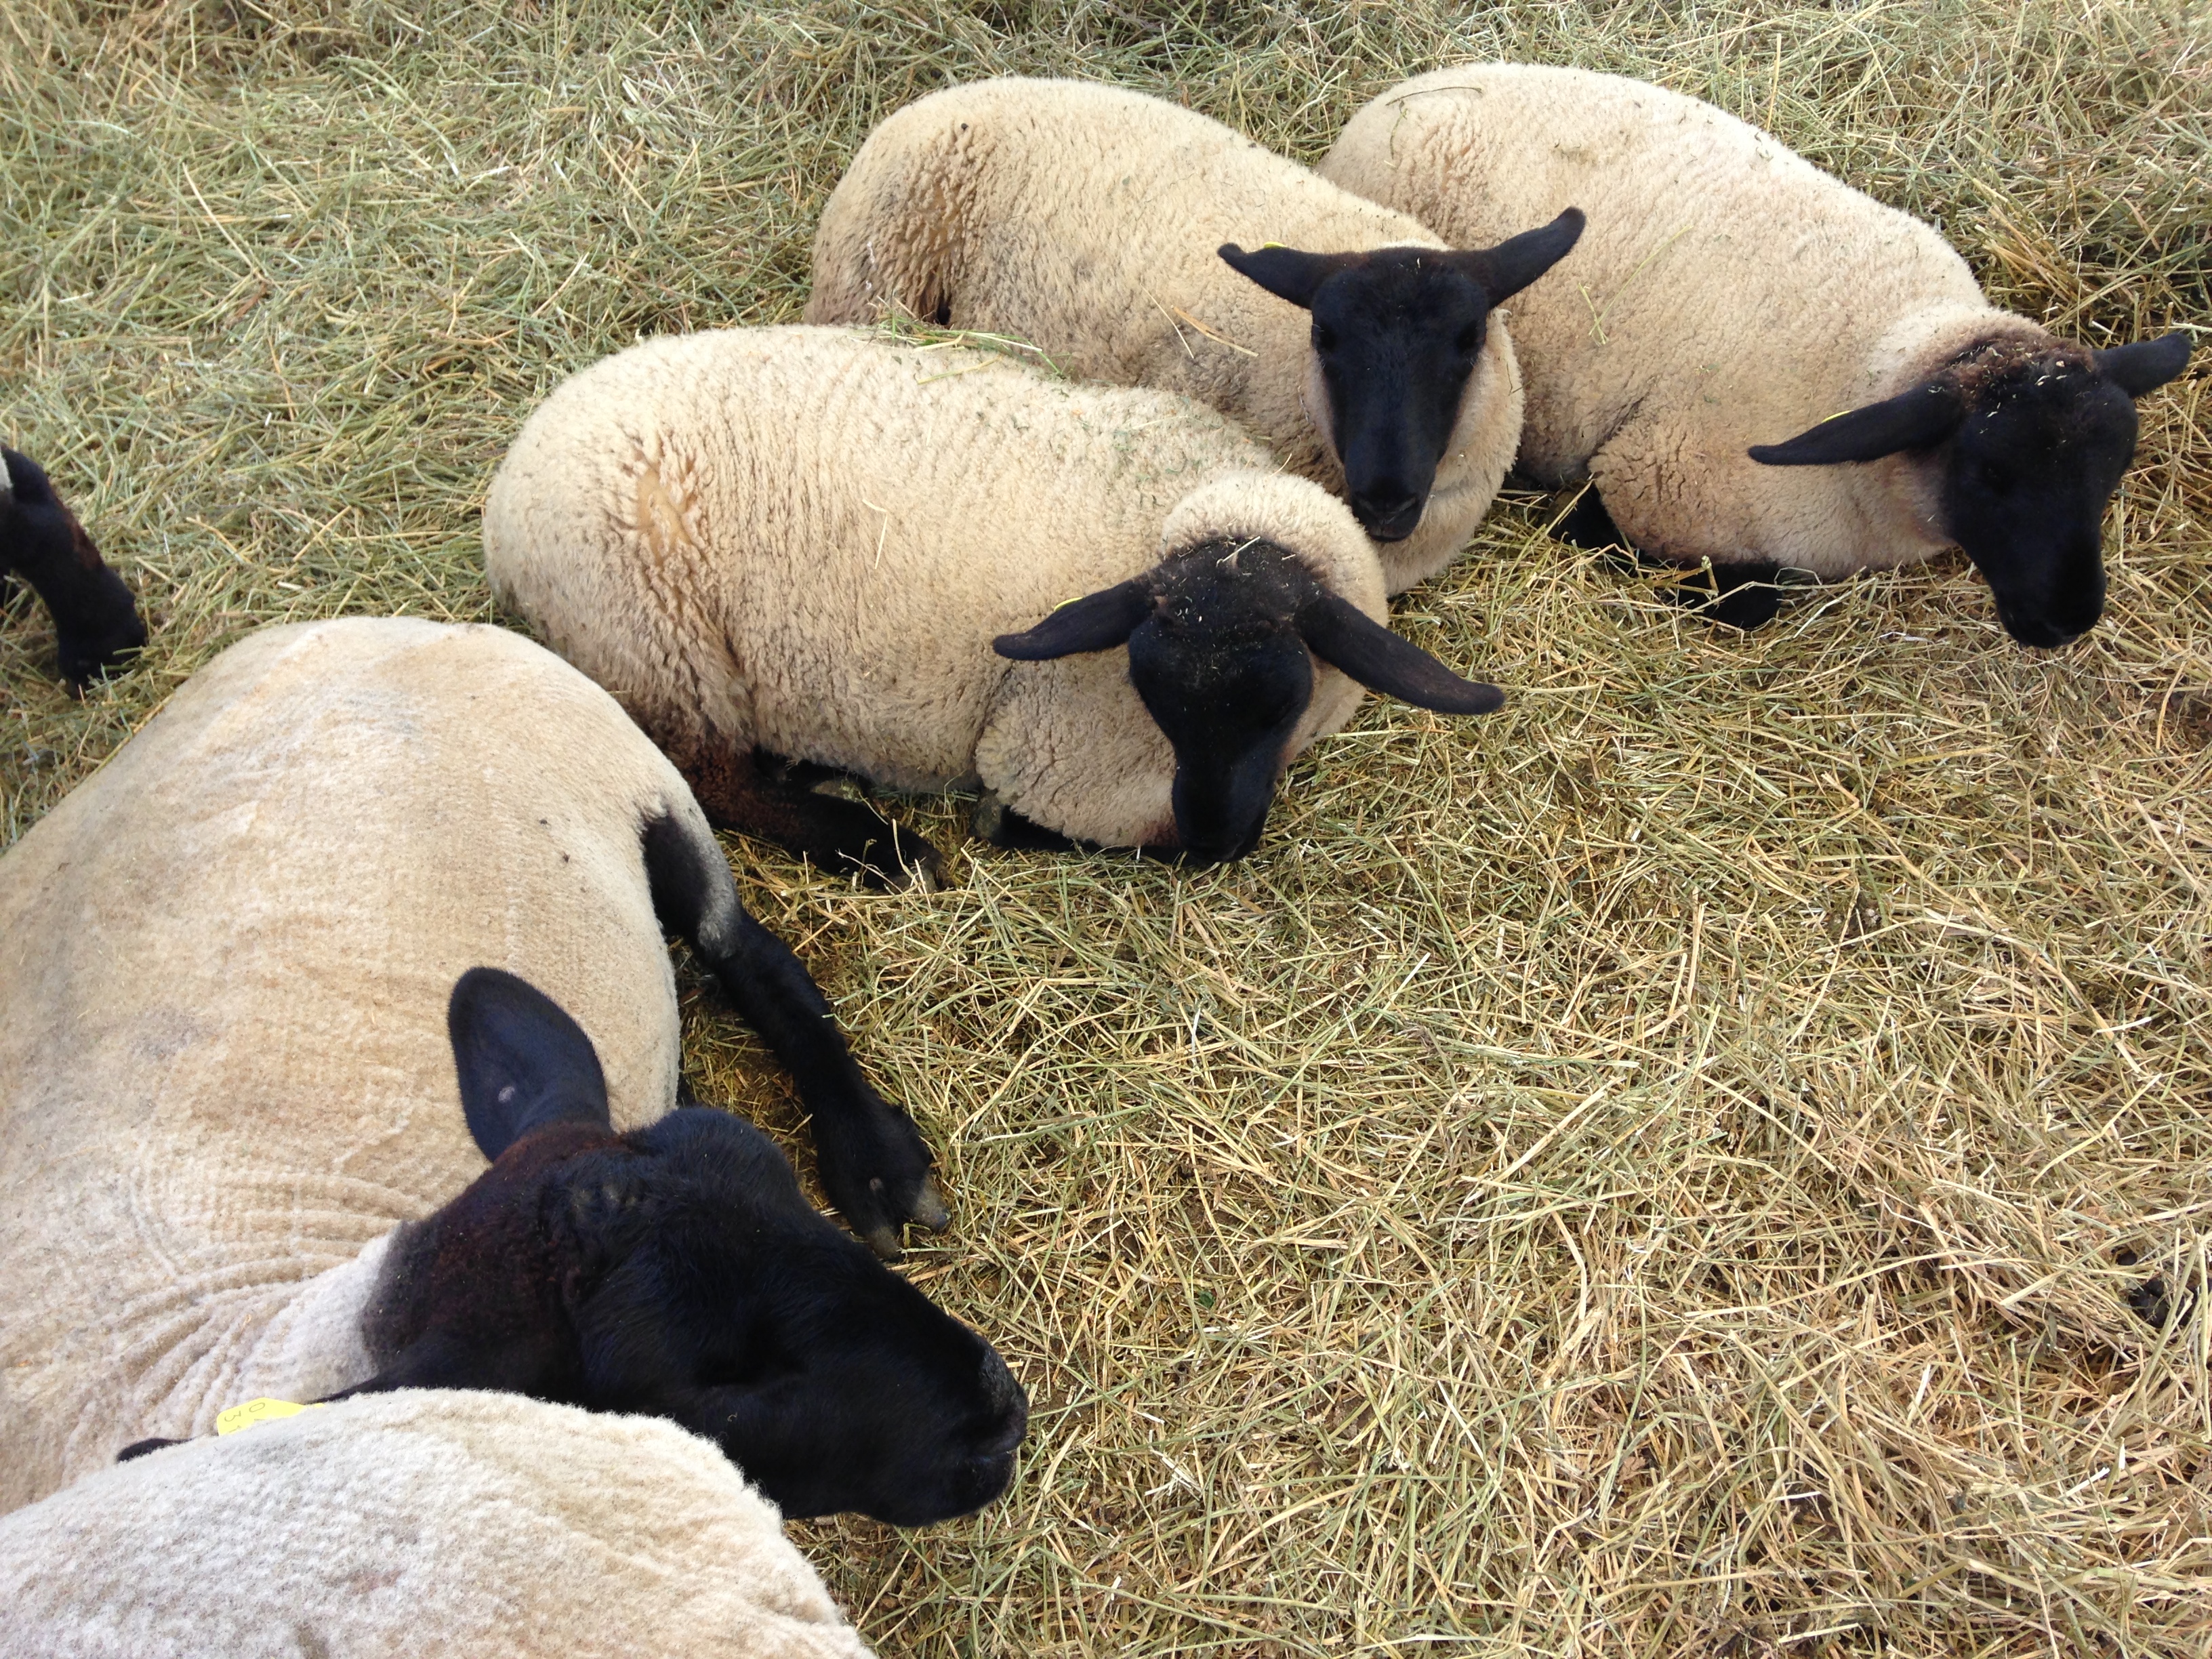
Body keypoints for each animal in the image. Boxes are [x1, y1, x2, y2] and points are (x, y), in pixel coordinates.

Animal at [0, 616, 1026, 1519]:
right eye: (719, 1389)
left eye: (775, 1177)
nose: (1005, 1414)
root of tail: (355, 626)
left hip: (644, 783)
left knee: (744, 951)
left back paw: (877, 1163)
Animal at [482, 325, 1505, 879]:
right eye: (1150, 693)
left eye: (1282, 702)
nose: (1215, 834)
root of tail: (508, 489)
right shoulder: (1058, 761)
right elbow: (1061, 817)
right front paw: (995, 828)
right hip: (655, 640)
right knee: (707, 778)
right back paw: (879, 850)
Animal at [1317, 65, 2191, 643]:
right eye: (1992, 473)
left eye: (2112, 471)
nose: (2069, 620)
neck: (1878, 354)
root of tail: (1388, 103)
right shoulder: (1657, 481)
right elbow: (1743, 600)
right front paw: (1577, 525)